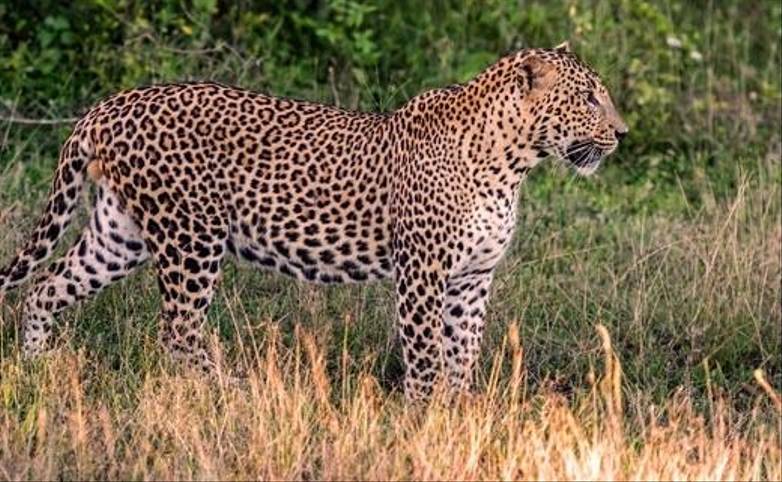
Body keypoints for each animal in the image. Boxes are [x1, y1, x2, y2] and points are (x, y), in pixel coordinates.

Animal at [0, 42, 627, 400]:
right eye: (588, 98)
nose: (622, 133)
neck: (513, 162)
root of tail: (107, 106)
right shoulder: (421, 274)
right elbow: (426, 353)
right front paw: (424, 417)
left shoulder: (472, 277)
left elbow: (463, 353)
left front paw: (460, 411)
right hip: (191, 237)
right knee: (175, 330)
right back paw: (228, 390)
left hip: (121, 234)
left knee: (45, 287)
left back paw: (35, 367)